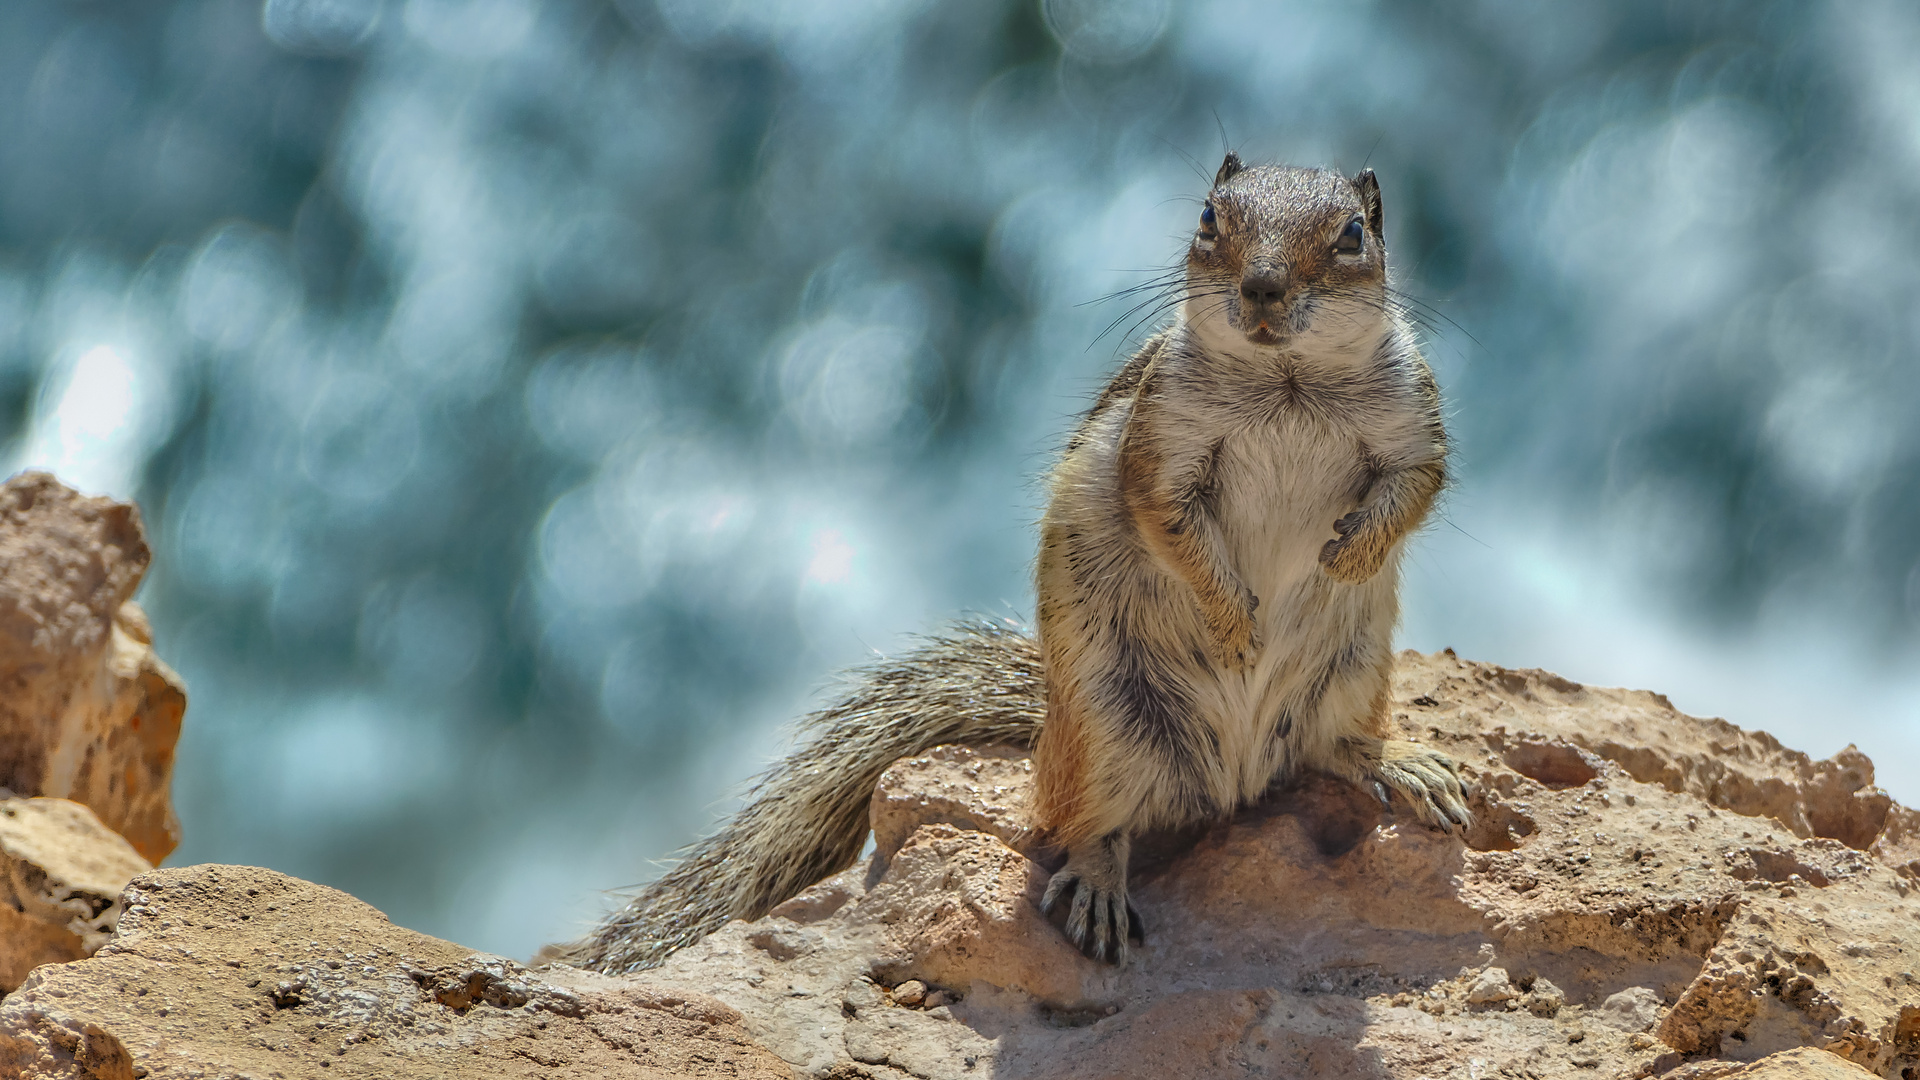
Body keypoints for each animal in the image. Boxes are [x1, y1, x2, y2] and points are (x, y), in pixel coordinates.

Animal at [549, 155, 1474, 972]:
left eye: (1353, 233)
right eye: (1211, 219)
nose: (1263, 288)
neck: (1288, 380)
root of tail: (1234, 784)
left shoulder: (1412, 420)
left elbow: (1415, 487)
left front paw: (1349, 557)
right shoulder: (1160, 444)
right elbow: (1166, 521)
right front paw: (1234, 621)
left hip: (1354, 670)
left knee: (1329, 747)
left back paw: (1402, 762)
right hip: (1105, 723)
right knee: (1084, 823)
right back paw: (1100, 884)